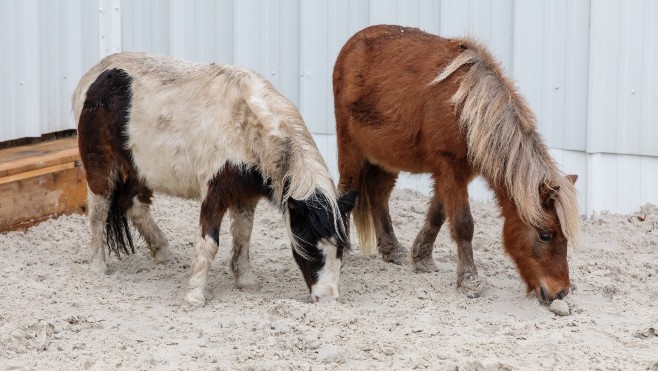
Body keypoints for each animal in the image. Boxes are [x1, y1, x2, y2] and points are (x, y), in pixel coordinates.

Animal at [73, 52, 354, 308]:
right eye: (310, 247)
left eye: (340, 249)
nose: (327, 299)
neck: (245, 124)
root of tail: (93, 76)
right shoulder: (215, 193)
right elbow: (209, 244)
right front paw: (194, 296)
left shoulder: (245, 195)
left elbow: (243, 237)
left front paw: (245, 280)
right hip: (101, 167)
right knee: (99, 213)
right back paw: (98, 266)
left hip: (138, 168)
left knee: (134, 205)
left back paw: (161, 249)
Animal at [334, 25, 580, 302]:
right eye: (545, 235)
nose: (561, 292)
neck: (467, 109)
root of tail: (353, 43)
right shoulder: (449, 168)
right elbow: (463, 224)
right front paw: (469, 281)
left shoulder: (456, 173)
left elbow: (438, 214)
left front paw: (422, 258)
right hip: (351, 149)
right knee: (346, 190)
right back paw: (341, 251)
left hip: (387, 156)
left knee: (378, 194)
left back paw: (392, 249)